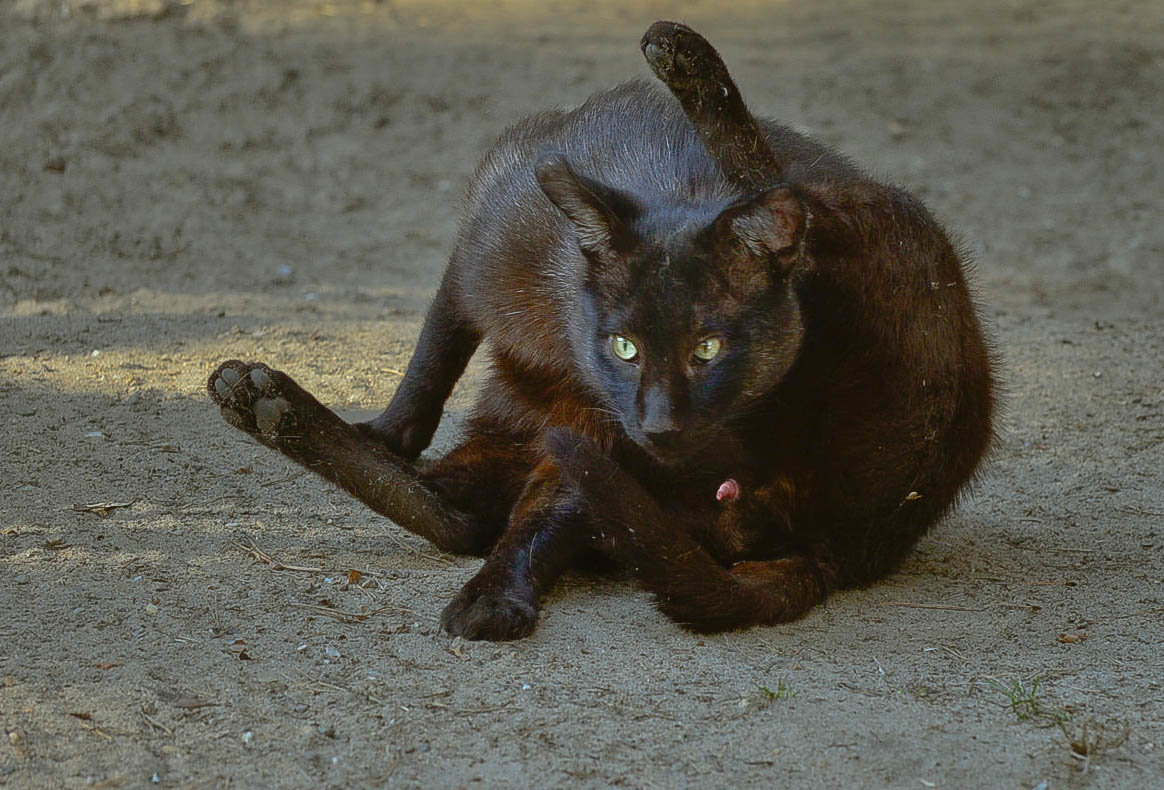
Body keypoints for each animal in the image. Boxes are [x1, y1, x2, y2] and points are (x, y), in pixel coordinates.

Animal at [207, 21, 991, 642]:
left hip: (884, 231)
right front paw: (383, 429)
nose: (663, 424)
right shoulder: (471, 269)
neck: (558, 329)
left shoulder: (598, 434)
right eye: (625, 346)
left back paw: (688, 60)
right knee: (458, 511)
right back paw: (266, 407)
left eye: (710, 349)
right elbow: (432, 358)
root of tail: (841, 545)